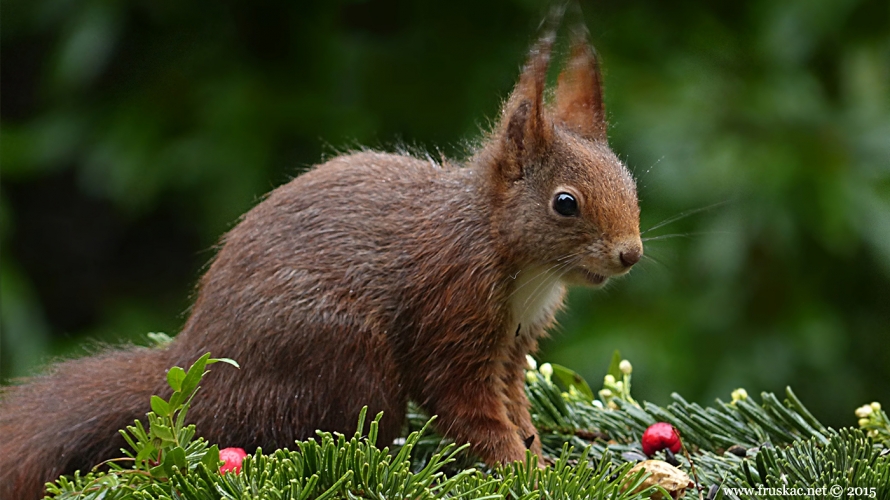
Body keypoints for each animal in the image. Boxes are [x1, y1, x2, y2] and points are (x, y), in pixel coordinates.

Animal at [0, 20, 640, 500]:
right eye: (565, 203)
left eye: (630, 182)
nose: (630, 254)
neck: (512, 255)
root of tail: (195, 363)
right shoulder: (451, 310)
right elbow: (469, 409)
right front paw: (524, 472)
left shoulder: (513, 343)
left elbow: (516, 405)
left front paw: (544, 456)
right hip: (342, 354)